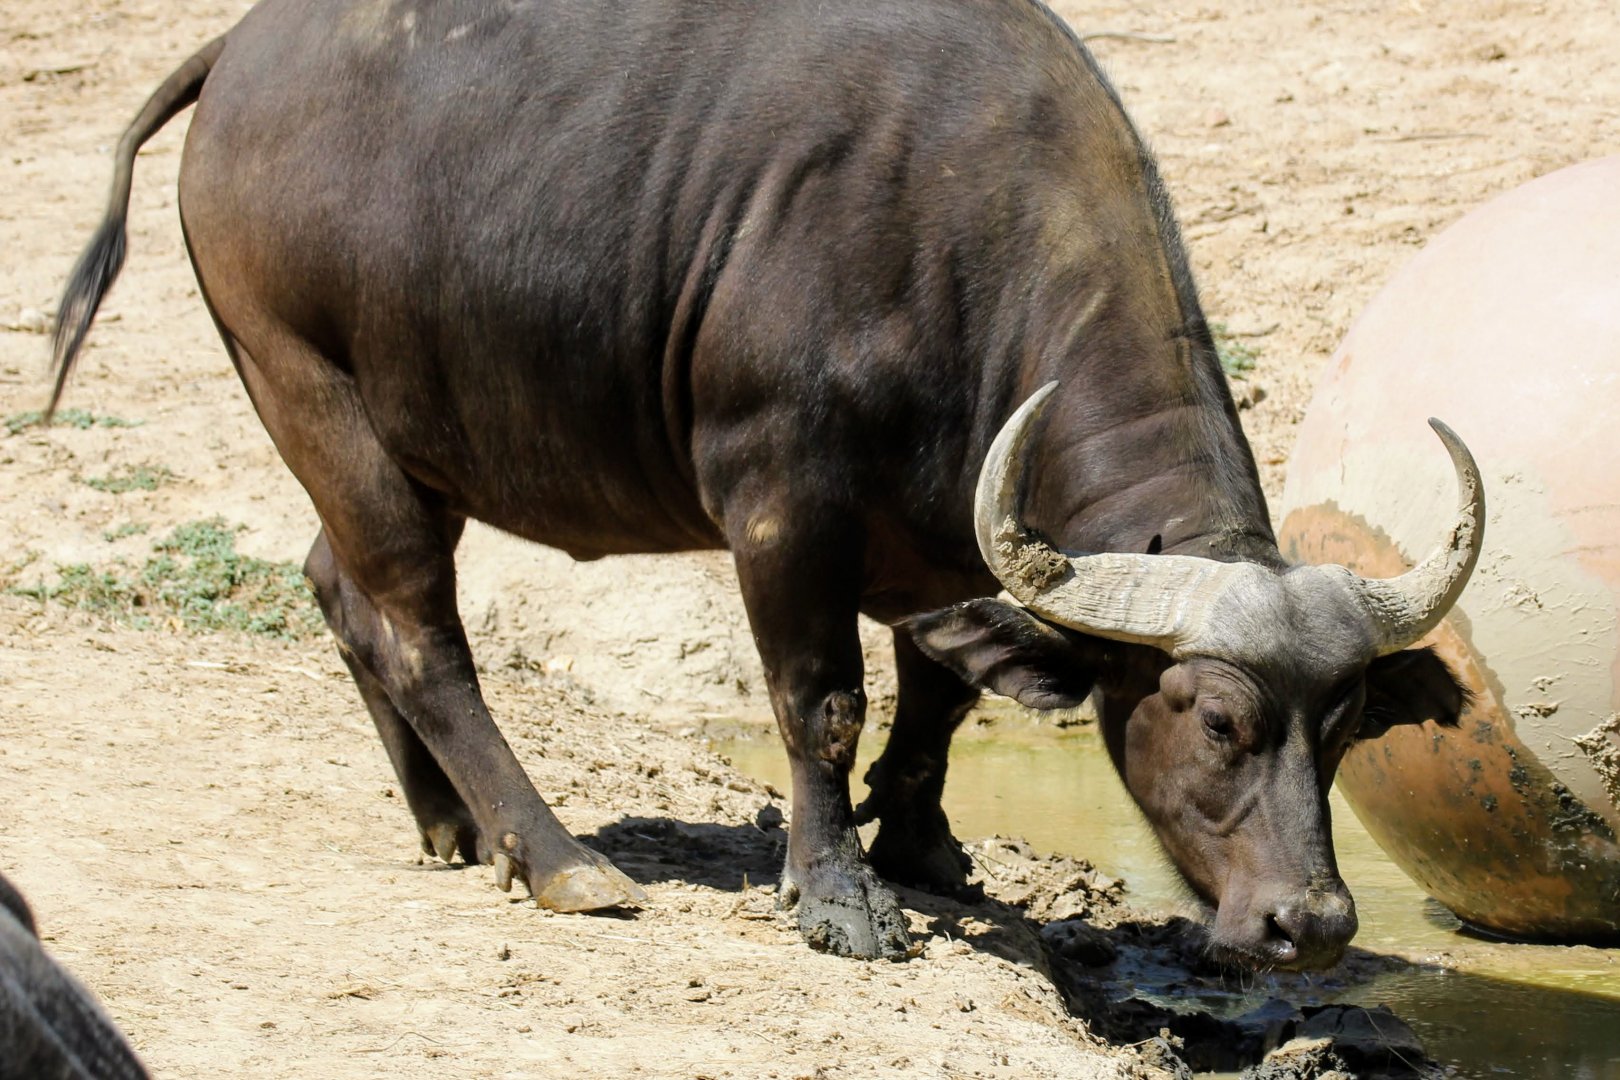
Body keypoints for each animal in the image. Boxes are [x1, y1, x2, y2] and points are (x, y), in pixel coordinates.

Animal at [51, 0, 1480, 966]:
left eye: (1349, 723)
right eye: (1220, 720)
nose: (1312, 922)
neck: (962, 242)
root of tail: (237, 57)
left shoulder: (952, 542)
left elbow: (941, 695)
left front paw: (925, 852)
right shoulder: (782, 505)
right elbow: (823, 702)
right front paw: (842, 896)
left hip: (407, 432)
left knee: (335, 589)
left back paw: (448, 824)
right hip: (314, 392)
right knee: (417, 633)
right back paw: (555, 858)